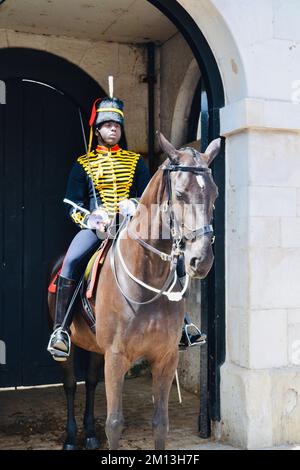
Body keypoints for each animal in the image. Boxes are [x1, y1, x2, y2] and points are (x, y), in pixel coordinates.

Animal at [47, 131, 220, 448]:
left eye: (214, 194)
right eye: (180, 194)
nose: (201, 260)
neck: (148, 278)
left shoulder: (166, 356)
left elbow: (161, 424)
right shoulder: (116, 357)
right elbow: (114, 424)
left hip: (96, 348)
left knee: (91, 383)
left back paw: (90, 434)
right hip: (69, 347)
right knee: (70, 384)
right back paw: (71, 436)